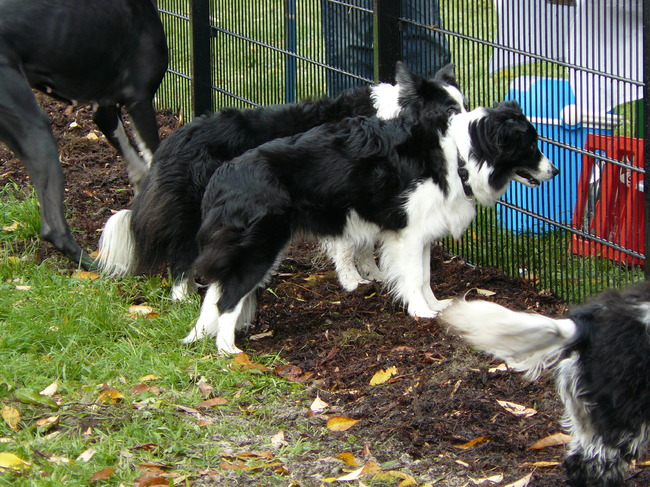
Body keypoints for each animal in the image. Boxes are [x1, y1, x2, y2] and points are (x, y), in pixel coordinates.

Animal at [0, 0, 167, 268]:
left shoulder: (104, 111)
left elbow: (140, 170)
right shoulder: (139, 100)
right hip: (35, 128)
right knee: (53, 229)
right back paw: (103, 267)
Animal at [96, 63, 464, 300]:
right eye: (450, 111)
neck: (397, 116)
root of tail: (173, 140)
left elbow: (365, 242)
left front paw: (372, 272)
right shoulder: (341, 197)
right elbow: (347, 244)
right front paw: (352, 281)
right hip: (196, 210)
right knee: (181, 256)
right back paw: (183, 297)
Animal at [182, 95, 556, 354]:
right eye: (530, 145)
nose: (554, 171)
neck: (461, 155)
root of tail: (223, 173)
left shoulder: (419, 232)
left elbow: (425, 276)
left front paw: (435, 306)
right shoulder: (408, 234)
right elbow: (414, 277)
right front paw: (421, 312)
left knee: (216, 292)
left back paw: (202, 336)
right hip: (259, 249)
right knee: (228, 297)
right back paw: (228, 350)